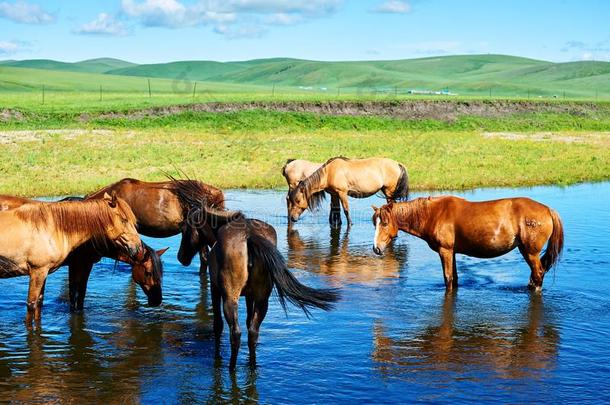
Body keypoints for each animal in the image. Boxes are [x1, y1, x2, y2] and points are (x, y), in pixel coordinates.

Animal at [0, 193, 143, 326]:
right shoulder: (38, 271)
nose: (137, 247)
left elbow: (40, 304)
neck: (49, 228)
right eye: (124, 220)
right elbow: (32, 305)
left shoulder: (44, 272)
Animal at [368, 196, 564, 290]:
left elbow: (448, 278)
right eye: (374, 223)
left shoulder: (445, 251)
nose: (376, 248)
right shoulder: (452, 252)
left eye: (384, 223)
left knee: (538, 274)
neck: (433, 213)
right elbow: (454, 278)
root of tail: (548, 210)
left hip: (530, 252)